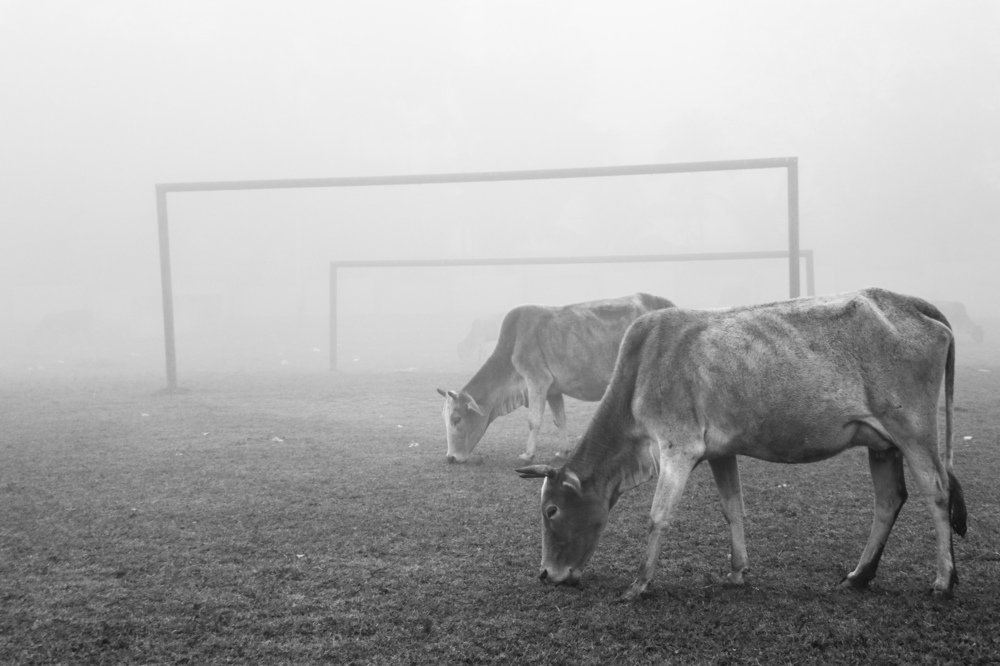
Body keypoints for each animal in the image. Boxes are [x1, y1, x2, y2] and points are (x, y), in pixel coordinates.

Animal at [437, 293, 675, 464]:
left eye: (456, 419)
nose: (450, 458)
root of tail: (668, 305)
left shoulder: (536, 381)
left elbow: (533, 421)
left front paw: (527, 455)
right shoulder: (553, 390)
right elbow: (560, 420)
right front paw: (563, 452)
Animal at [518, 288, 967, 599]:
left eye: (551, 510)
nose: (545, 573)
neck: (640, 372)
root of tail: (907, 301)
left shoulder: (677, 447)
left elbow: (658, 516)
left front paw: (639, 584)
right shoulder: (720, 452)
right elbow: (732, 509)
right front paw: (737, 571)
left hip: (913, 429)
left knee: (937, 492)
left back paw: (943, 580)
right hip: (882, 443)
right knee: (889, 500)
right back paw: (859, 576)